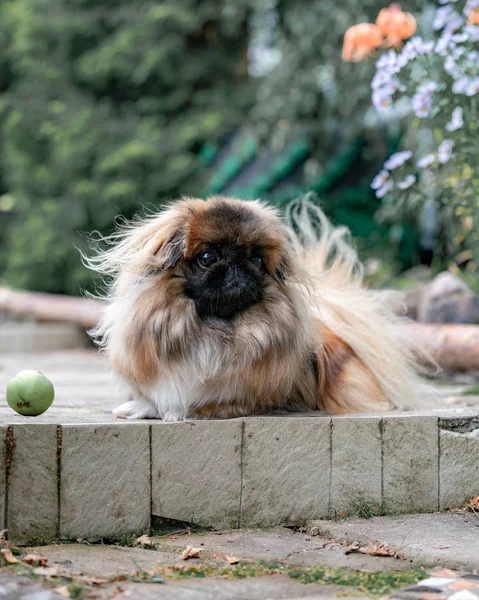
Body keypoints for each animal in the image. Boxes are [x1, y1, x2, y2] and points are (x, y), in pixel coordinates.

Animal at [86, 195, 432, 420]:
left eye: (255, 259)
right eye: (208, 257)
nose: (238, 266)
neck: (213, 328)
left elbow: (204, 401)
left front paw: (180, 411)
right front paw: (140, 407)